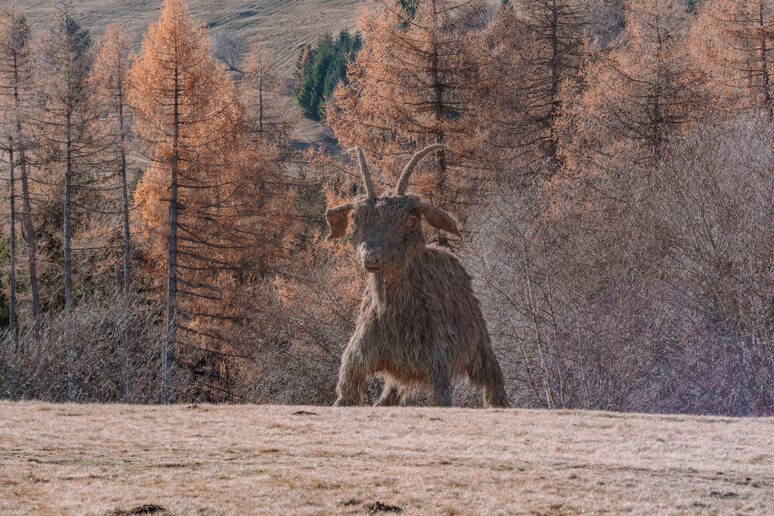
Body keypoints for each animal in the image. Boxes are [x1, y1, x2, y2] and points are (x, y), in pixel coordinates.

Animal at [326, 145, 510, 408]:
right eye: (356, 220)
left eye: (411, 220)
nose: (371, 256)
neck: (393, 315)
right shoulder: (356, 358)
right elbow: (345, 395)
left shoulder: (438, 363)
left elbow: (442, 400)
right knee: (388, 398)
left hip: (480, 346)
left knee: (494, 383)